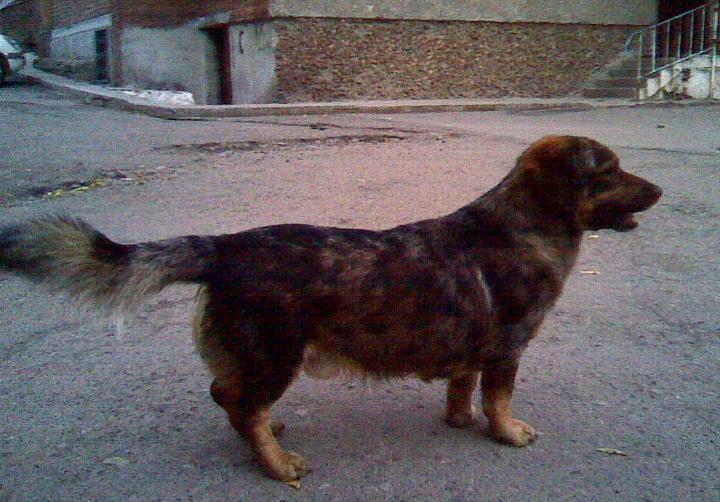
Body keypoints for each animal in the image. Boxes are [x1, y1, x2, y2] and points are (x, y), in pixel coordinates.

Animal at [0, 136, 661, 482]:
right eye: (610, 170)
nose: (660, 190)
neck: (521, 225)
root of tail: (225, 246)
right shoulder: (509, 346)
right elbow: (499, 398)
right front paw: (505, 432)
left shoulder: (470, 349)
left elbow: (461, 386)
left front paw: (458, 419)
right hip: (277, 357)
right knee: (242, 405)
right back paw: (276, 463)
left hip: (257, 359)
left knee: (229, 396)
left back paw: (265, 435)